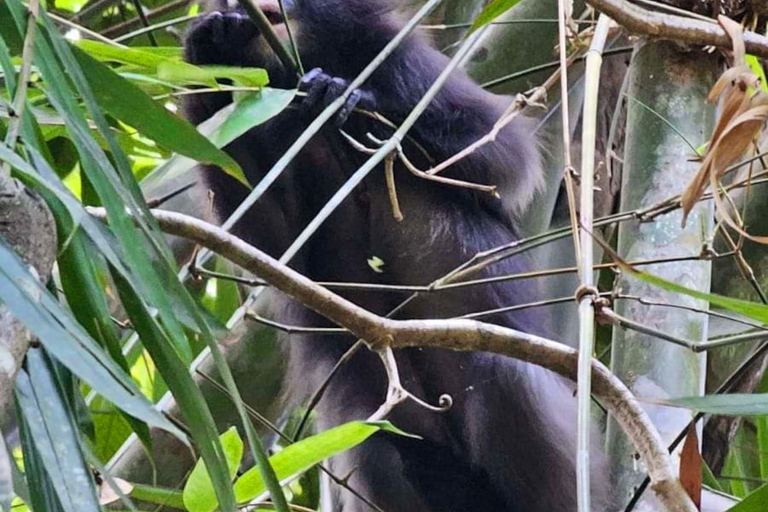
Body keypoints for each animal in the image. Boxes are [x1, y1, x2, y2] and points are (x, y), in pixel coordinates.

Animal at [183, 2, 608, 510]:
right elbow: (274, 237)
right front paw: (206, 51)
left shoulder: (406, 65)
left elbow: (502, 156)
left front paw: (345, 96)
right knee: (378, 446)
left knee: (507, 376)